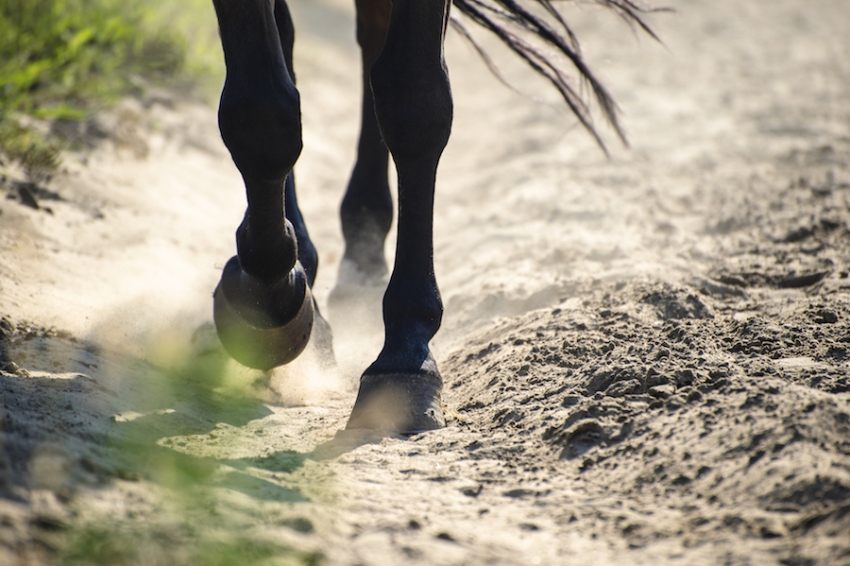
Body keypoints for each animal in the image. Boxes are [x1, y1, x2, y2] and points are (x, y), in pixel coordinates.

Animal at [205, 0, 656, 434]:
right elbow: (259, 110)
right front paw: (267, 300)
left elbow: (412, 96)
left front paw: (405, 355)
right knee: (294, 43)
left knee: (371, 36)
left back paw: (362, 249)